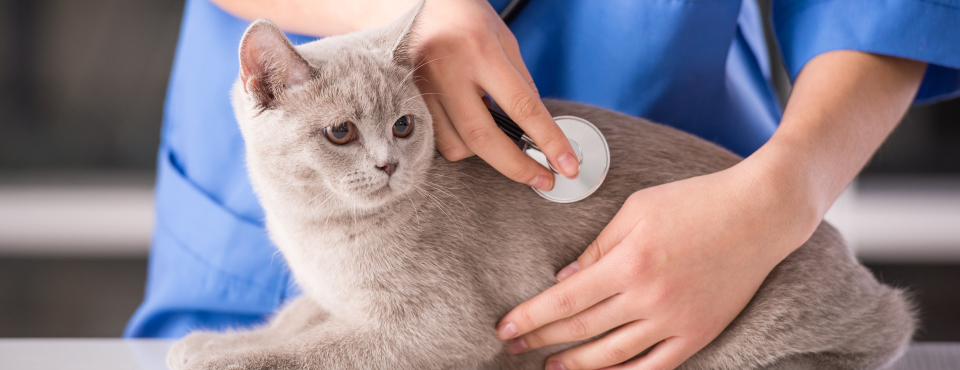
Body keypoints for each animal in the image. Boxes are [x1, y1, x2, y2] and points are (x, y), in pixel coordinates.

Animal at [165, 2, 916, 370]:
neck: (314, 230)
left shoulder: (439, 327)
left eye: (403, 125)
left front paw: (222, 359)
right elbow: (298, 319)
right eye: (342, 133)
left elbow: (315, 351)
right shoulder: (330, 295)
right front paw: (213, 340)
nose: (388, 165)